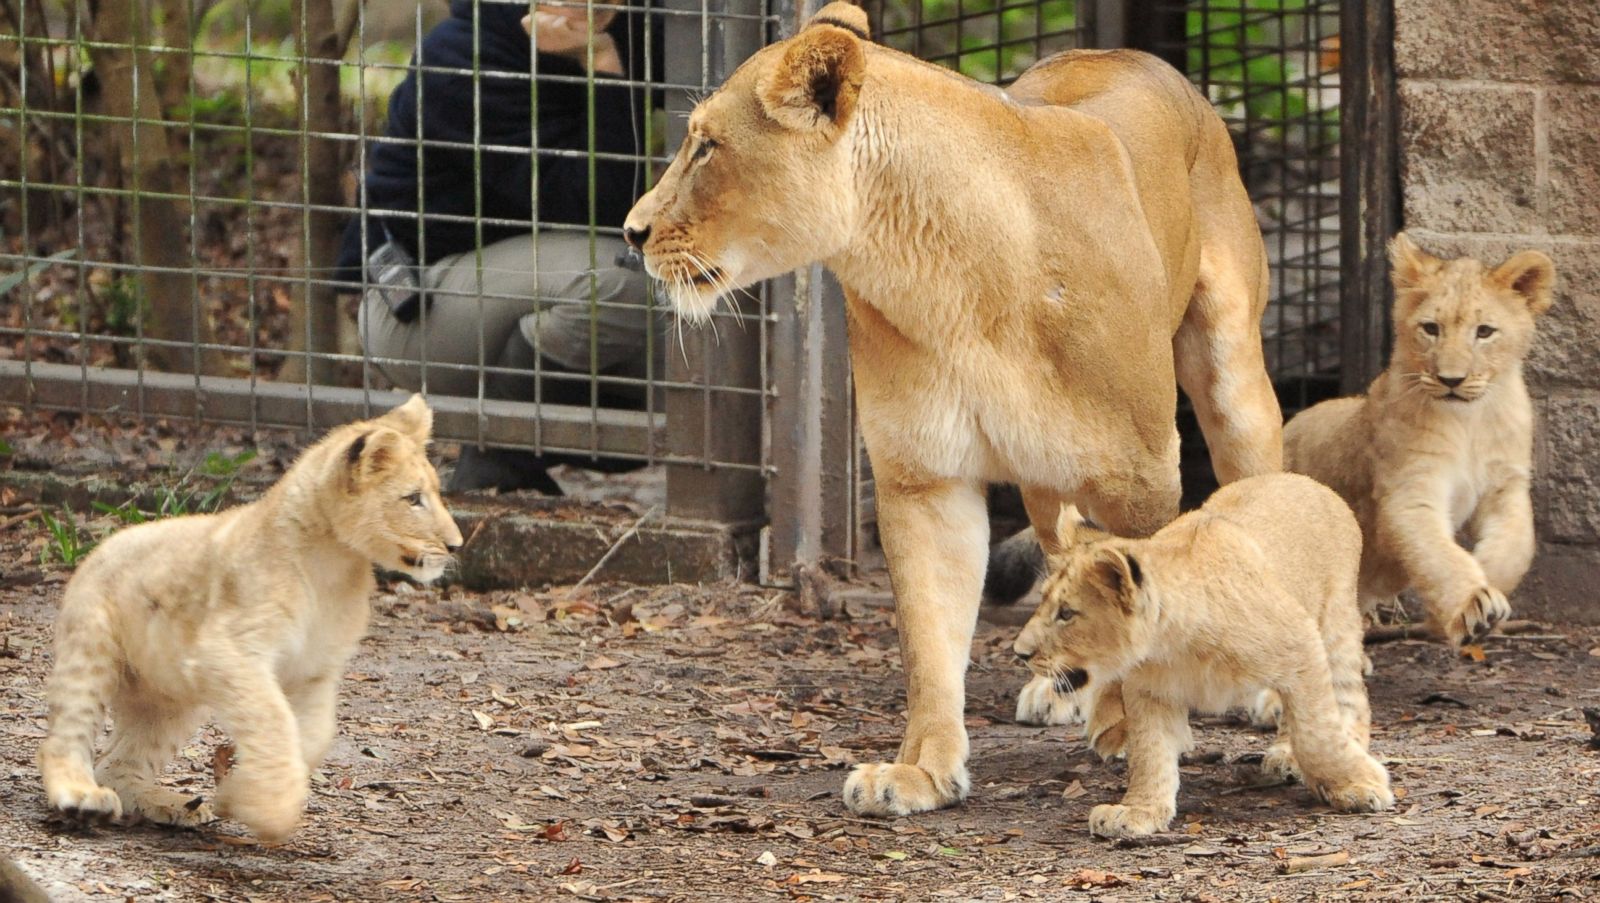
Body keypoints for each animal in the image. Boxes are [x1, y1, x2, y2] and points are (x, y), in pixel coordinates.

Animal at [617, 1, 1280, 819]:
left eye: (707, 145)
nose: (632, 231)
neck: (940, 276)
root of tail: (1131, 52)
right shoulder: (923, 476)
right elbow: (932, 641)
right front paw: (921, 771)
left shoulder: (1141, 474)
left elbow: (1140, 611)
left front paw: (1142, 732)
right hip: (1046, 477)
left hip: (1230, 379)